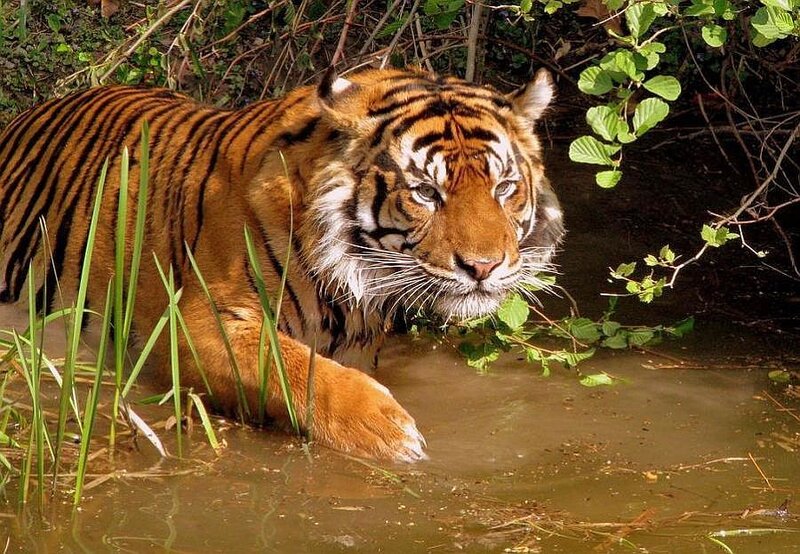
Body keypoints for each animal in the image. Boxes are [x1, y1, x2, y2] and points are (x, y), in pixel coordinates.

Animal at [0, 67, 564, 461]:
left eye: (504, 188)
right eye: (426, 192)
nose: (483, 267)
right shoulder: (191, 324)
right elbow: (295, 366)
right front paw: (392, 434)